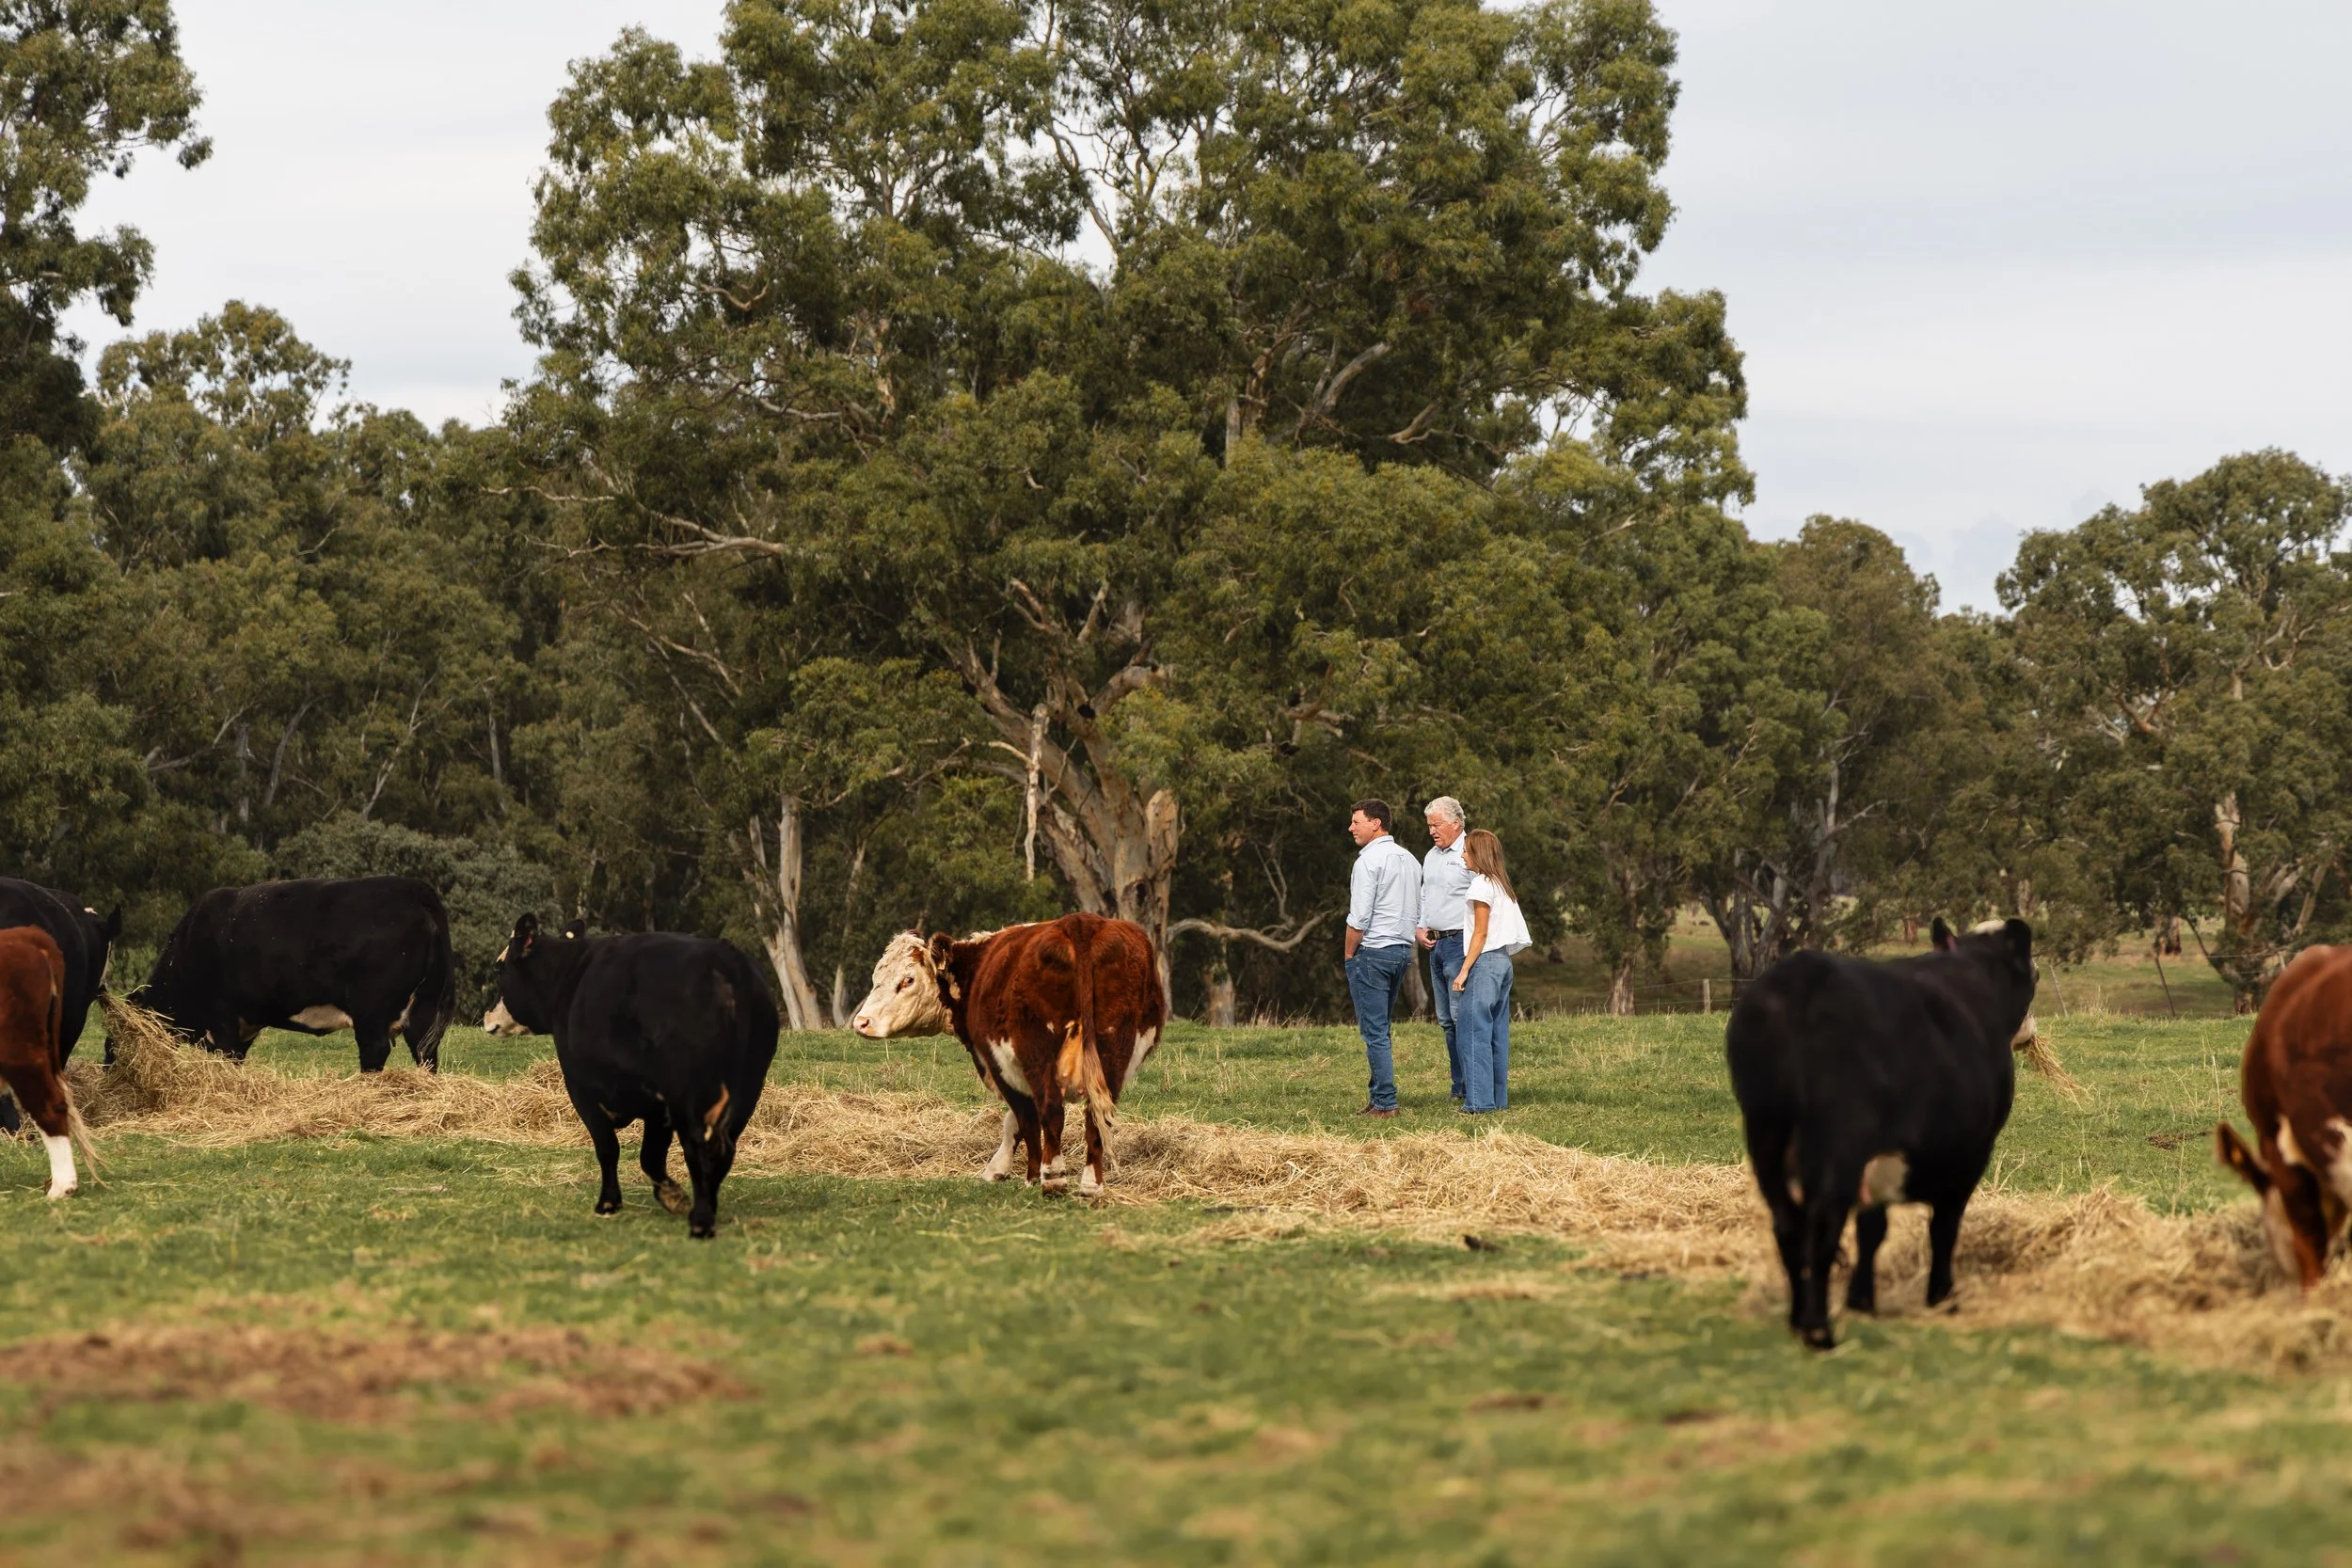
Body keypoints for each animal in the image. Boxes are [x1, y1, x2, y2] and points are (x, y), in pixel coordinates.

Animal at [137, 877, 456, 1072]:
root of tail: (411, 887)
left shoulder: (222, 1013)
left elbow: (227, 1056)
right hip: (423, 1008)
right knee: (425, 1052)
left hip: (372, 1010)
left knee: (374, 1052)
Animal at [490, 914, 778, 1238]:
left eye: (499, 969)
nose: (488, 1018)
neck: (569, 978)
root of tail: (726, 959)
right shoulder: (656, 1107)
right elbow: (650, 1156)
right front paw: (672, 1196)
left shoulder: (582, 1090)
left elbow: (607, 1147)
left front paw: (608, 1203)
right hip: (747, 1087)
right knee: (723, 1149)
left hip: (685, 1093)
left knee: (698, 1147)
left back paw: (701, 1220)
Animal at [850, 913, 1166, 1196]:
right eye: (876, 977)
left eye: (908, 980)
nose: (861, 1022)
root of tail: (1080, 922)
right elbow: (1019, 1120)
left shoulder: (999, 1064)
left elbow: (1021, 1119)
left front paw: (1018, 1174)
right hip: (1114, 1053)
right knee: (1096, 1118)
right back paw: (1091, 1184)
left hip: (1038, 1052)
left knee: (1051, 1111)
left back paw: (1051, 1179)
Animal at [1726, 917, 2038, 1348]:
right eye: (2035, 975)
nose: (2030, 1029)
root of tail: (1801, 976)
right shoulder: (1972, 1154)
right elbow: (1944, 1227)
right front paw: (1942, 1298)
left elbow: (1872, 1228)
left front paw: (1862, 1300)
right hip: (1840, 1142)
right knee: (1822, 1226)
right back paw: (1818, 1329)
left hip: (1767, 1136)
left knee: (1788, 1224)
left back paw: (1797, 1319)